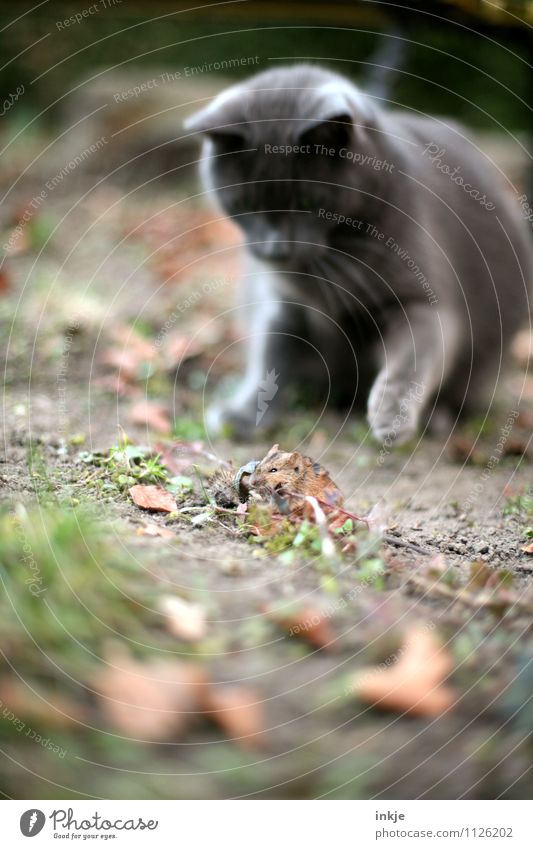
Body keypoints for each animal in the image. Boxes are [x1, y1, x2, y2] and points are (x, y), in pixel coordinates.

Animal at [184, 63, 532, 440]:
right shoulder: (284, 302)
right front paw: (244, 413)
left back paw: (438, 418)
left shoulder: (420, 296)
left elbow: (417, 353)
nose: (276, 250)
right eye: (245, 204)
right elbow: (271, 355)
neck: (330, 259)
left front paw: (392, 413)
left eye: (307, 201)